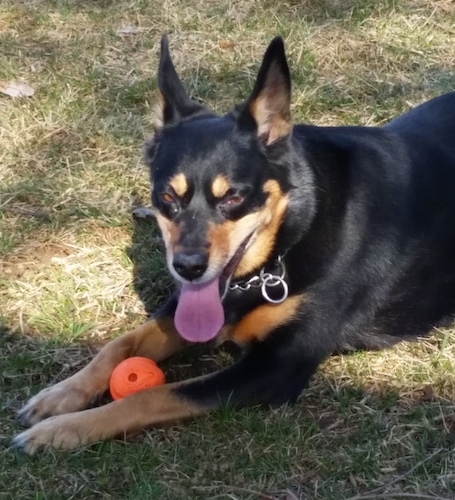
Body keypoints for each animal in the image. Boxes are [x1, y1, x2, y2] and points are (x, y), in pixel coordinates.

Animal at [11, 37, 455, 456]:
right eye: (167, 196)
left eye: (233, 197)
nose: (188, 267)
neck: (294, 231)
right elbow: (118, 344)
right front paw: (59, 397)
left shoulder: (276, 367)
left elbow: (153, 394)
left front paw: (62, 431)